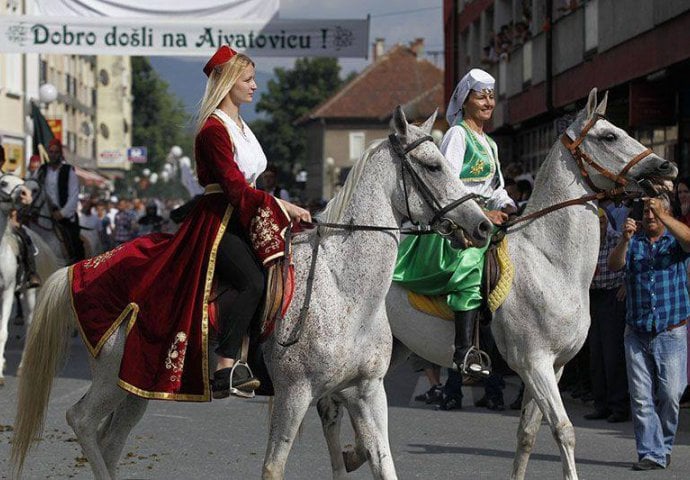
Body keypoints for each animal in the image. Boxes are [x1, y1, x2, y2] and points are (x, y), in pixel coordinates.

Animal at [12, 107, 494, 478]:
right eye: (433, 166)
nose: (483, 226)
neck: (345, 288)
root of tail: (83, 268)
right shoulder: (294, 395)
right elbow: (274, 467)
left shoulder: (366, 392)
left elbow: (382, 462)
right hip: (113, 377)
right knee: (81, 421)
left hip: (139, 386)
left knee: (110, 441)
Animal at [382, 90, 676, 480]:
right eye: (609, 136)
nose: (667, 168)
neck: (550, 261)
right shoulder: (535, 363)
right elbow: (563, 430)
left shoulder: (555, 367)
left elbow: (528, 433)